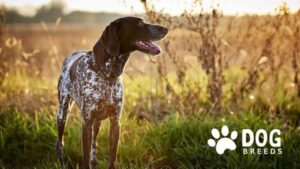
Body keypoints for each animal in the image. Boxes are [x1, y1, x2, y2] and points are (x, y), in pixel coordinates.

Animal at [56, 16, 169, 169]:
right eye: (139, 23)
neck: (108, 74)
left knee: (94, 143)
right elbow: (85, 158)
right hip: (63, 113)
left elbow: (112, 157)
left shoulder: (115, 122)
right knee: (60, 143)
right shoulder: (87, 123)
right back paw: (62, 162)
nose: (166, 28)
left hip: (97, 122)